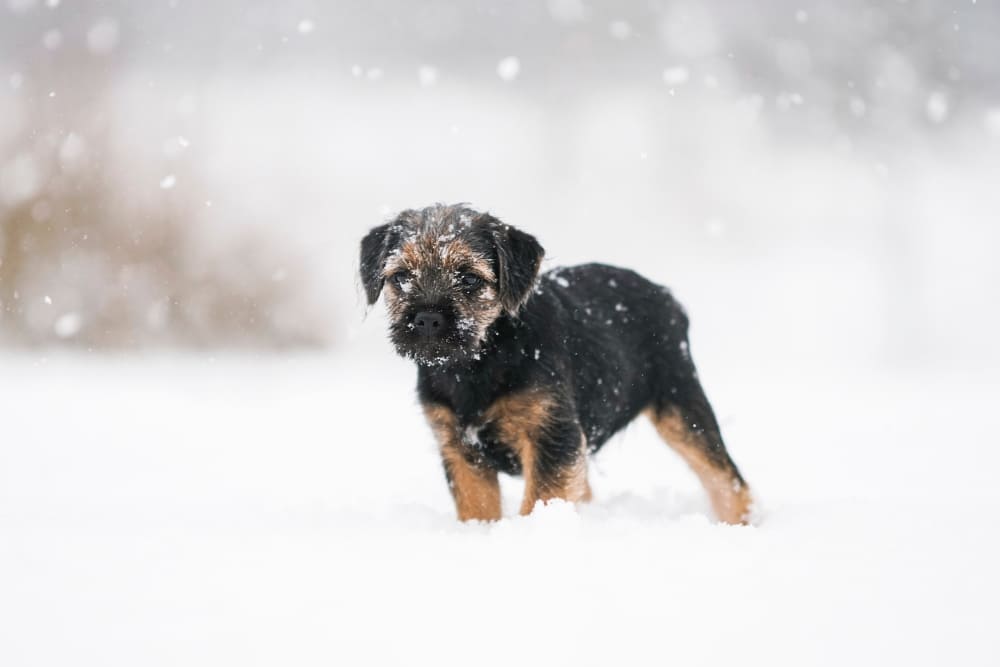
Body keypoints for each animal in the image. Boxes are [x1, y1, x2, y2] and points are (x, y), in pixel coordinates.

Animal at [358, 201, 752, 524]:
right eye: (401, 277)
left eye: (469, 278)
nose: (426, 318)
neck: (478, 363)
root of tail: (666, 295)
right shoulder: (461, 449)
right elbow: (478, 507)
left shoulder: (552, 435)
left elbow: (542, 498)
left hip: (681, 402)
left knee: (725, 478)